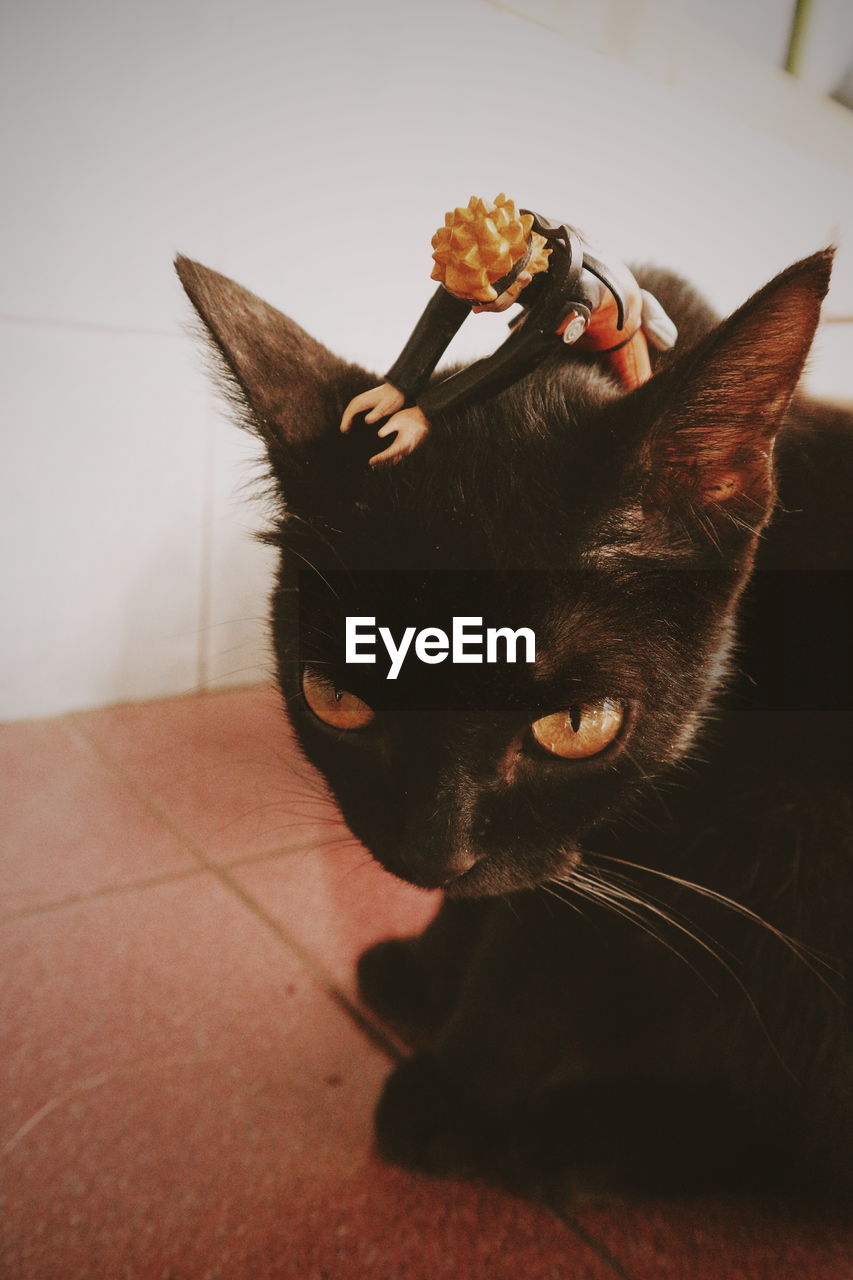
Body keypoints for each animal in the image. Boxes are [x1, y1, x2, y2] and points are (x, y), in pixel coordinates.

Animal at [175, 247, 845, 1187]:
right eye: (336, 698)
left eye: (579, 724)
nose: (428, 854)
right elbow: (501, 892)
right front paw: (428, 967)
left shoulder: (667, 834)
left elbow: (537, 948)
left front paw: (456, 1090)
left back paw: (562, 1133)